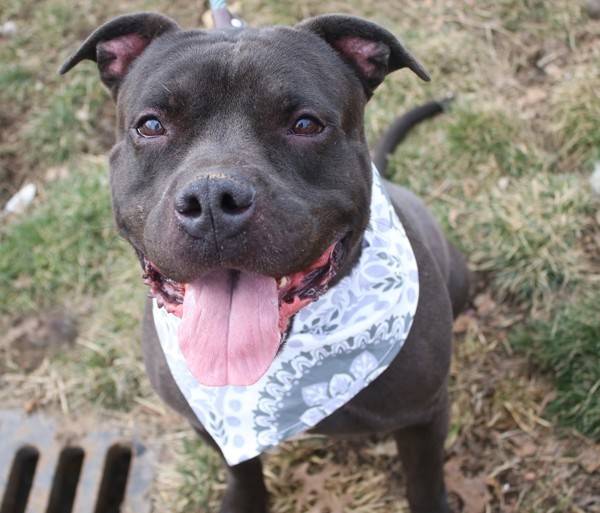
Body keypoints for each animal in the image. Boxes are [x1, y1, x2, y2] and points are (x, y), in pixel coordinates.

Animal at [63, 13, 472, 512]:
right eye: (152, 125)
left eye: (305, 123)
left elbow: (425, 481)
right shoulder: (209, 425)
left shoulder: (424, 415)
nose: (213, 199)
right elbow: (240, 468)